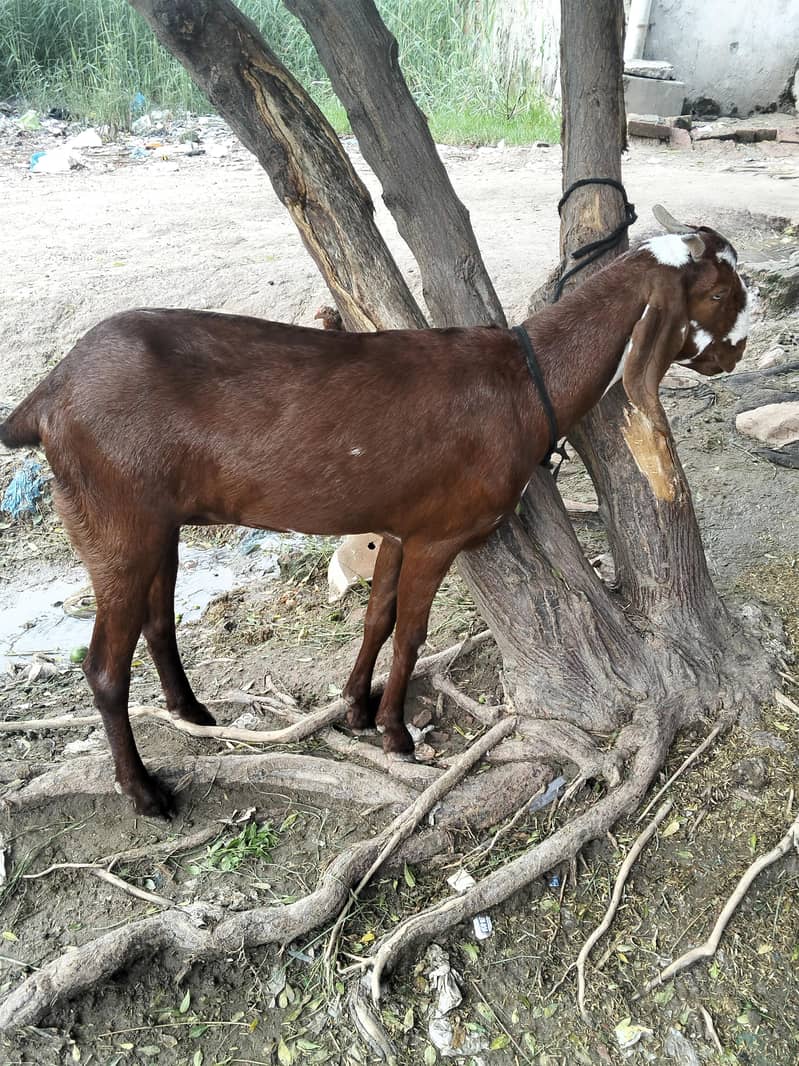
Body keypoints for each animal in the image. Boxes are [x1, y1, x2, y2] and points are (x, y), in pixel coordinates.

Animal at [0, 206, 749, 817]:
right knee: (103, 666)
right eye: (716, 293)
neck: (523, 380)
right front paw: (396, 733)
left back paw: (193, 711)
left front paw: (355, 707)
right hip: (113, 519)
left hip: (154, 522)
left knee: (158, 620)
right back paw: (145, 792)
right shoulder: (441, 533)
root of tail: (47, 396)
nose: (735, 352)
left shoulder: (398, 523)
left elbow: (377, 615)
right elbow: (411, 631)